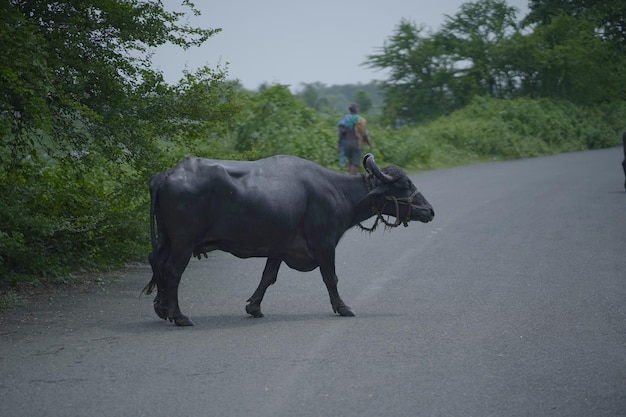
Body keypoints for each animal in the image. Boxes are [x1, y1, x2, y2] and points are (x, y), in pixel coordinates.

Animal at [143, 153, 432, 324]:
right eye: (405, 185)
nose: (430, 210)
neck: (337, 192)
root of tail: (166, 175)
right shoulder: (325, 244)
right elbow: (331, 278)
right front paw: (342, 307)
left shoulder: (278, 248)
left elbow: (268, 276)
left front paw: (254, 307)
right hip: (183, 242)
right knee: (172, 270)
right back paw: (179, 315)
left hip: (166, 239)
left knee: (156, 262)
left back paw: (161, 308)